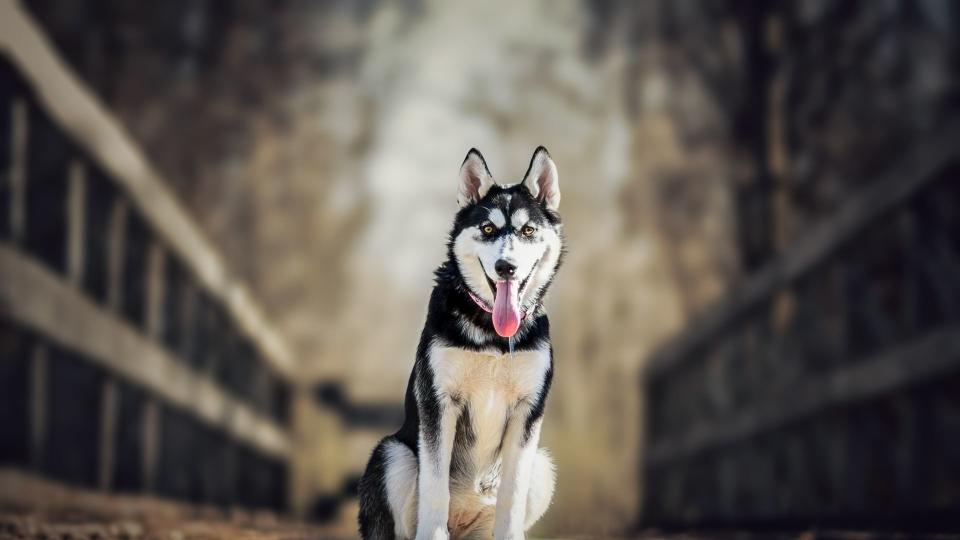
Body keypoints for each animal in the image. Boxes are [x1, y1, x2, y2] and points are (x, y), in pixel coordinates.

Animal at [360, 148, 568, 540]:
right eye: (487, 229)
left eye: (528, 230)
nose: (506, 267)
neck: (493, 337)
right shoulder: (439, 403)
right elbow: (435, 487)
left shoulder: (527, 412)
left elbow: (511, 496)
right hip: (392, 454)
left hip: (544, 467)